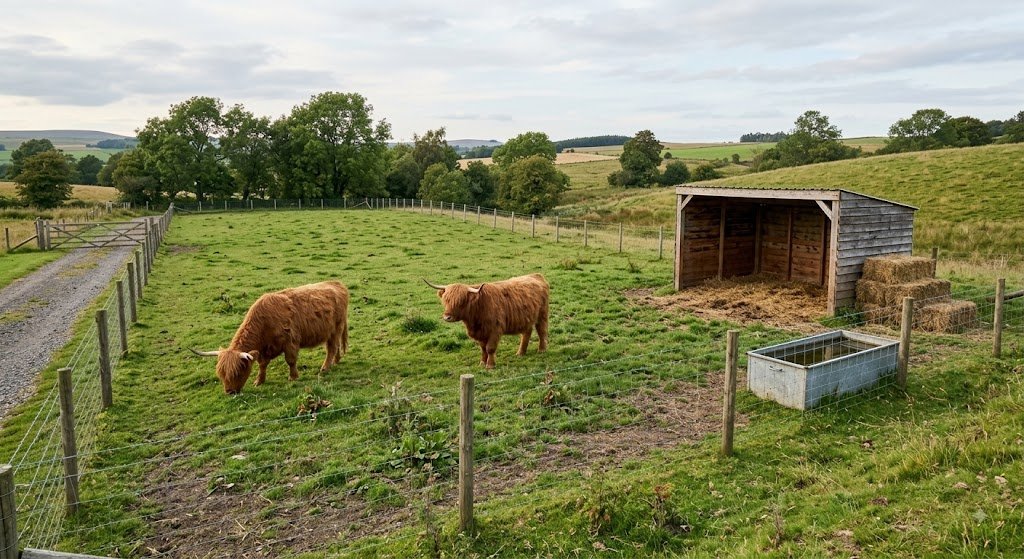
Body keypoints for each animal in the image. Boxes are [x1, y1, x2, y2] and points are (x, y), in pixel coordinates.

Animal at [191, 280, 349, 394]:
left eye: (238, 372)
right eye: (221, 373)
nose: (230, 392)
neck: (264, 323)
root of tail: (336, 283)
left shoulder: (290, 342)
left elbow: (290, 361)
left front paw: (293, 377)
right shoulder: (263, 350)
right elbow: (262, 365)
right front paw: (259, 381)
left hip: (336, 328)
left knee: (332, 348)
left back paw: (325, 367)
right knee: (335, 347)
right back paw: (336, 361)